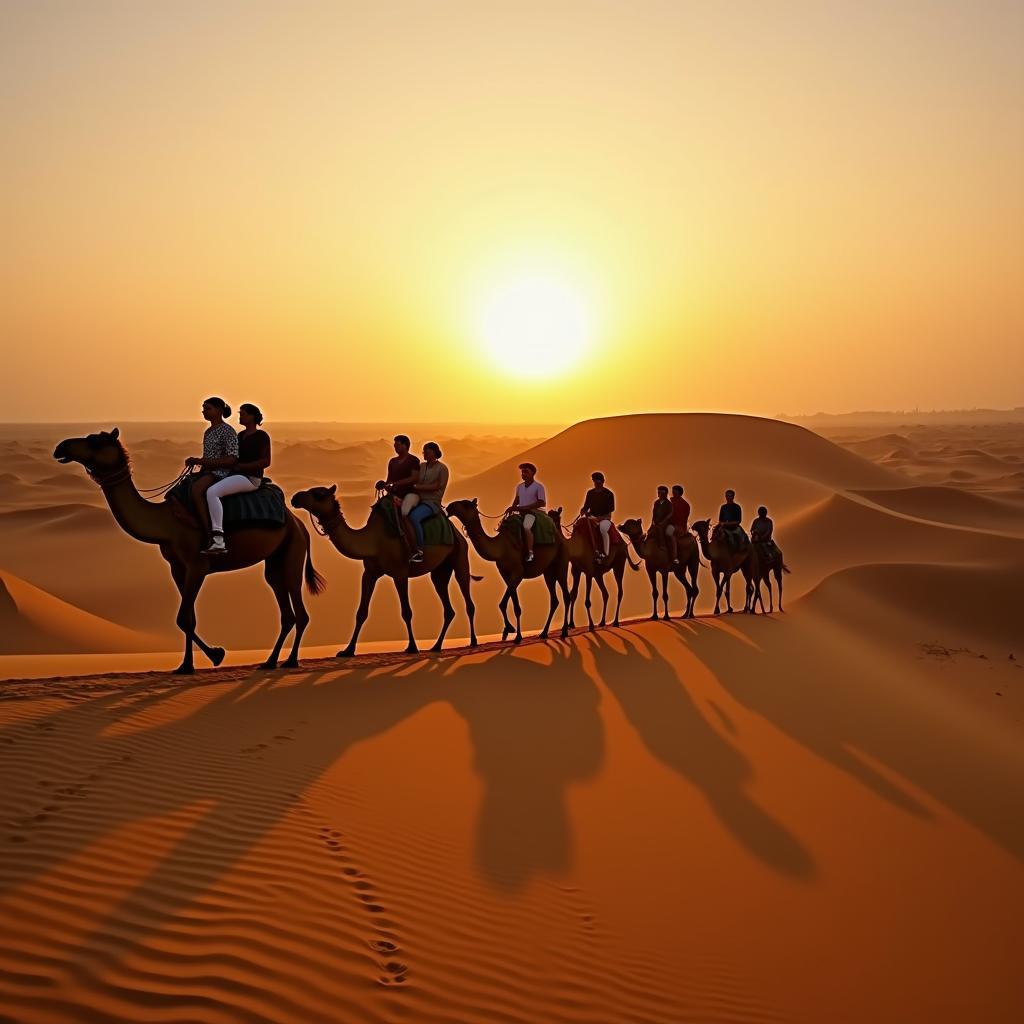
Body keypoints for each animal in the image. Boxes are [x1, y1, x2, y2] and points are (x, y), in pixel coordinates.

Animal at [52, 430, 323, 671]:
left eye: (95, 441)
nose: (62, 447)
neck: (167, 522)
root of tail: (299, 525)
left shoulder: (197, 565)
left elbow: (183, 617)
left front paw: (216, 655)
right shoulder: (177, 567)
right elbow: (188, 619)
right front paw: (187, 665)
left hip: (293, 552)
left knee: (300, 611)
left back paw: (290, 661)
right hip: (275, 560)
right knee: (285, 609)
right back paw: (269, 662)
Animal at [290, 485, 477, 655]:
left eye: (318, 494)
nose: (295, 497)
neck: (374, 540)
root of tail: (456, 533)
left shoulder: (400, 573)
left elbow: (406, 612)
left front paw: (412, 647)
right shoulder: (369, 573)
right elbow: (361, 612)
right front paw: (348, 650)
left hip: (460, 556)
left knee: (468, 599)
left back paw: (473, 642)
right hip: (440, 571)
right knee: (448, 608)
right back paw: (436, 646)